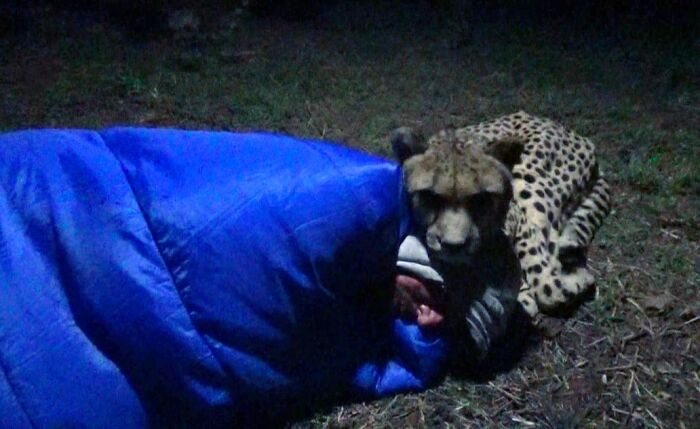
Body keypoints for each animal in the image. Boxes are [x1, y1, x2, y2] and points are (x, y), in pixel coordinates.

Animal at [392, 111, 612, 336]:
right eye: (429, 198)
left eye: (481, 200)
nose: (454, 245)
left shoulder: (520, 219)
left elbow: (545, 284)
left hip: (528, 182)